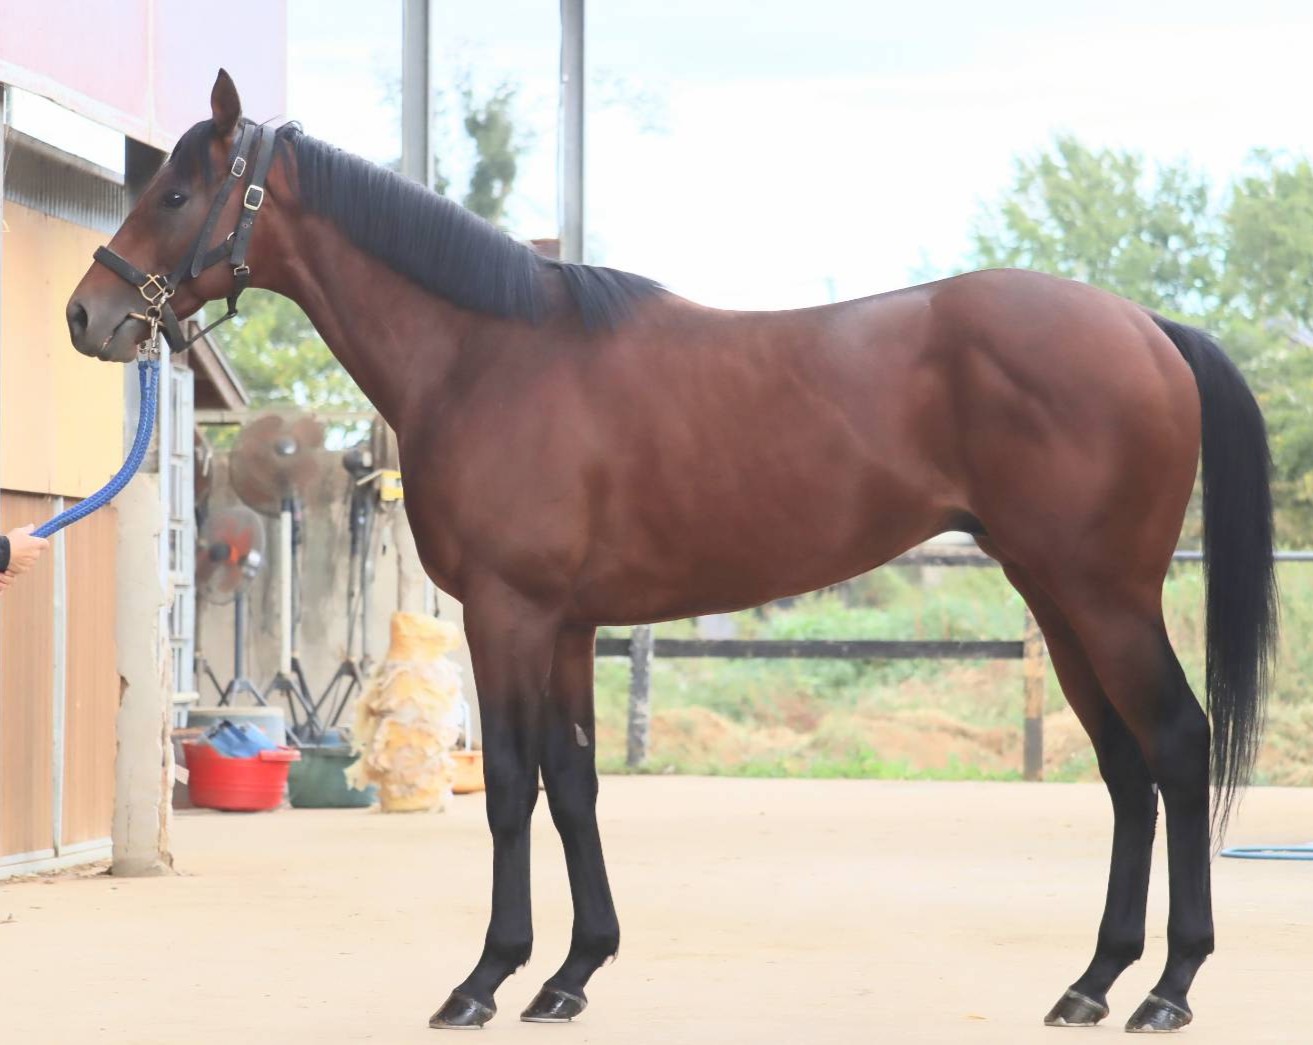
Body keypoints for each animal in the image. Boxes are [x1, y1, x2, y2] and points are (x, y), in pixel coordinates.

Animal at [66, 70, 1275, 1034]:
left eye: (175, 194)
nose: (87, 315)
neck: (488, 355)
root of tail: (1147, 328)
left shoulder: (508, 613)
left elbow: (509, 787)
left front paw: (485, 979)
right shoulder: (564, 624)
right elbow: (574, 783)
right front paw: (571, 974)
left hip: (1102, 596)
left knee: (1175, 745)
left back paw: (1167, 988)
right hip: (1059, 601)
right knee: (1123, 768)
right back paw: (1092, 982)